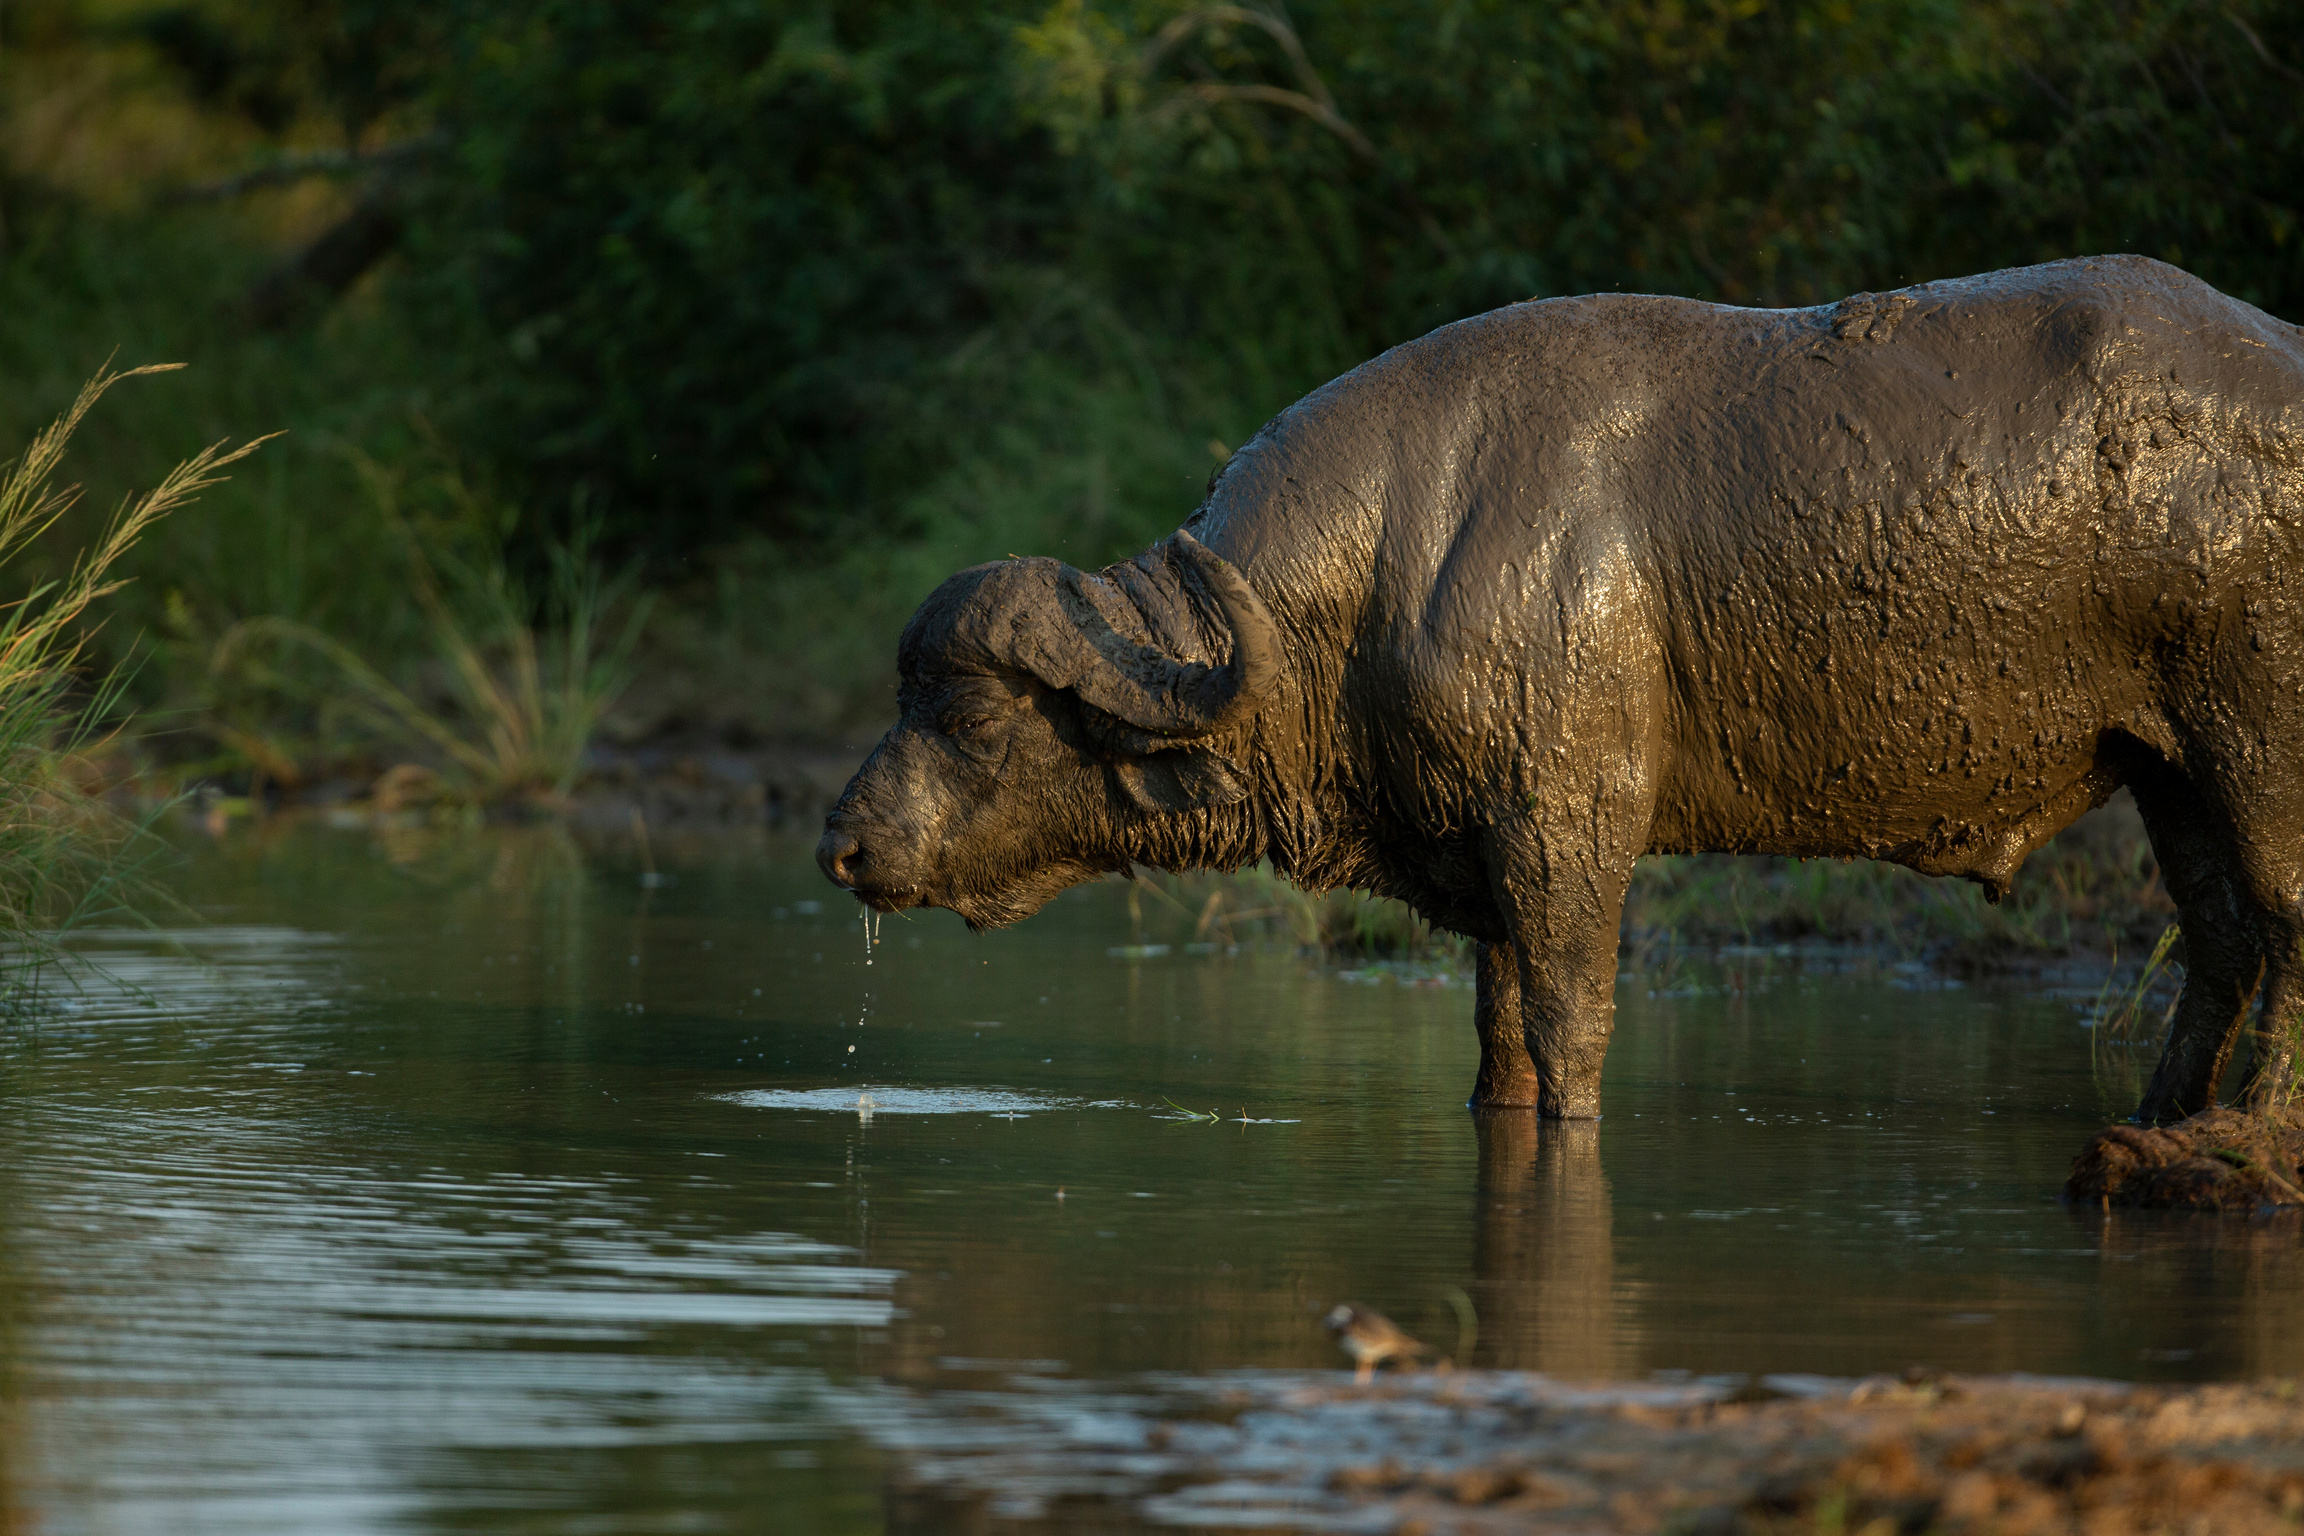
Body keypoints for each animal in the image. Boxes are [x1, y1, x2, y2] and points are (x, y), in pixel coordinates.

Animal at [820, 257, 2304, 1123]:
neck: (1372, 583)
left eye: (967, 714)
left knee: (2285, 930)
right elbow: (1498, 1041)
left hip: (2258, 748)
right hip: (2171, 770)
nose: (841, 845)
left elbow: (1569, 1027)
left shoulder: (1570, 830)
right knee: (2223, 944)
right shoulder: (1483, 852)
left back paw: (2237, 1139)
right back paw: (2166, 1125)